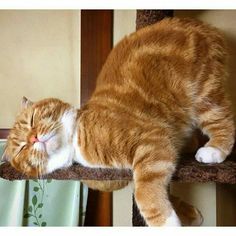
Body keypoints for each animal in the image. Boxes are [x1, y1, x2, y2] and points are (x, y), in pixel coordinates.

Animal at [1, 17, 234, 226]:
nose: (34, 138)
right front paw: (190, 214)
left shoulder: (151, 140)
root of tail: (201, 26)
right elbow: (150, 186)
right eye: (22, 148)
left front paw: (168, 225)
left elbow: (143, 193)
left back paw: (214, 150)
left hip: (203, 95)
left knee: (224, 121)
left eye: (32, 120)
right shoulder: (124, 174)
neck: (75, 142)